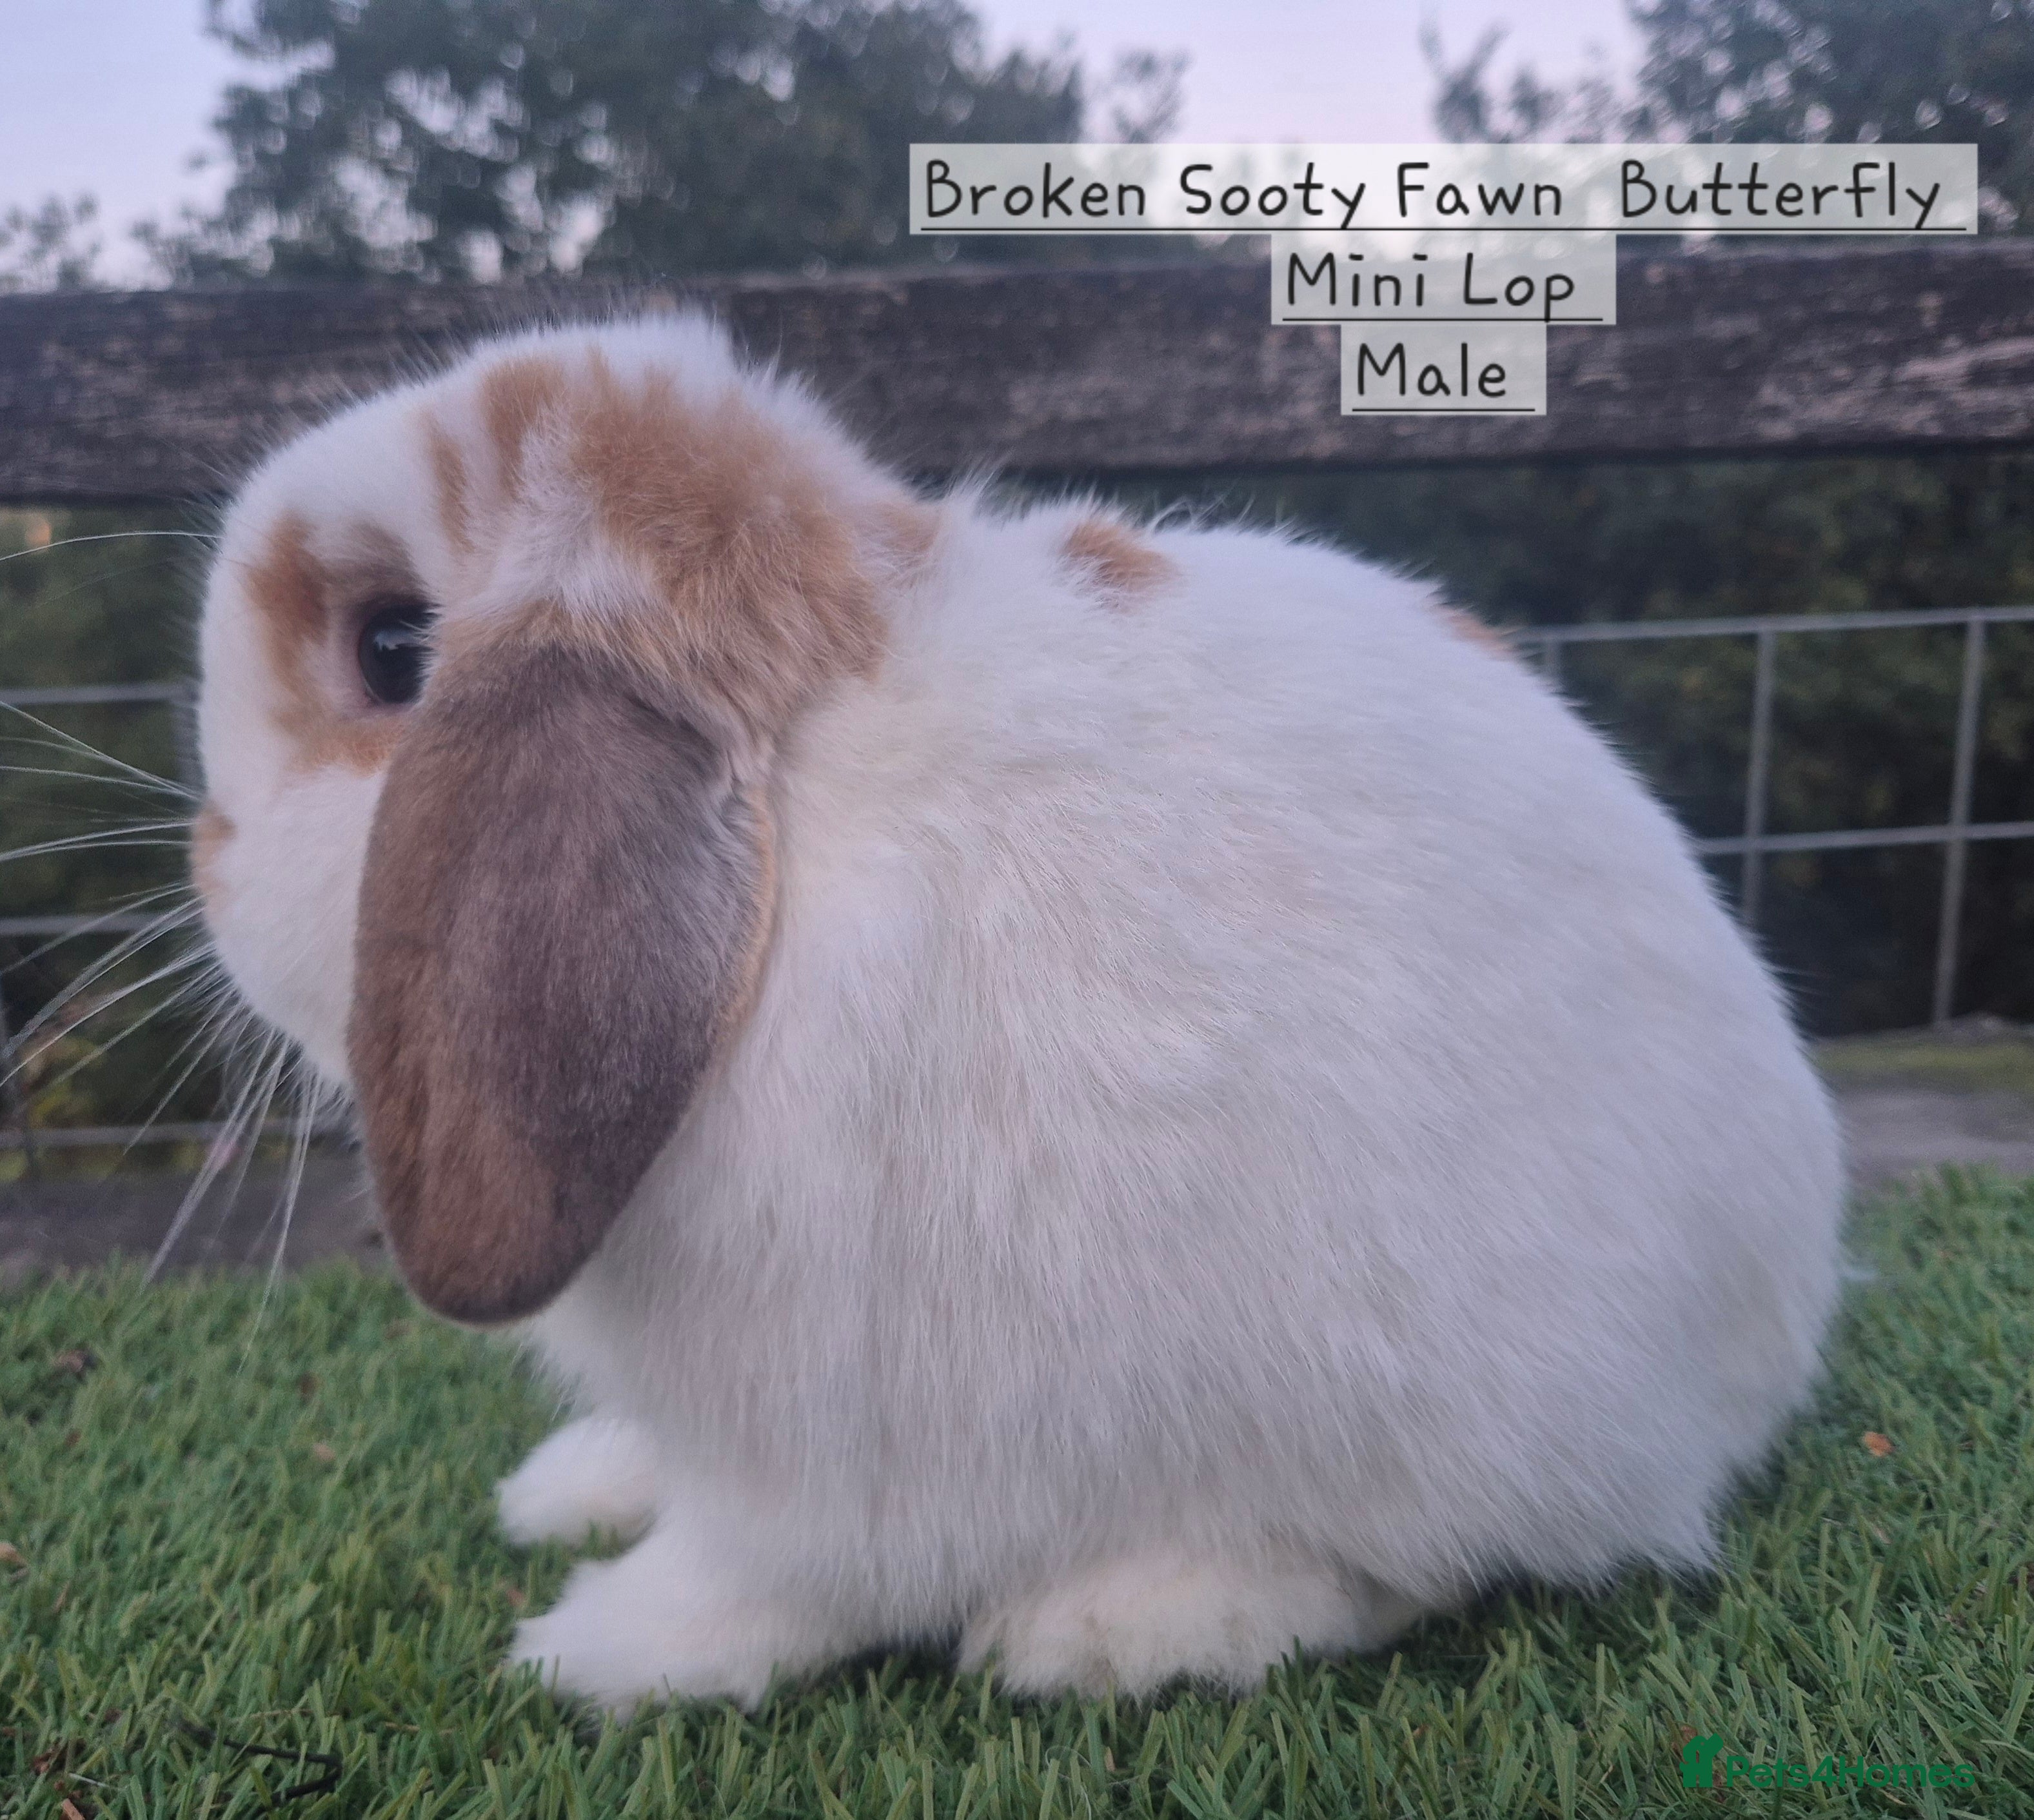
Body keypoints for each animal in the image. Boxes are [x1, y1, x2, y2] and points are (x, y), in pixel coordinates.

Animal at [190, 312, 1845, 1714]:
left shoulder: (818, 1454)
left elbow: (756, 1582)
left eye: (390, 649)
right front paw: (570, 1501)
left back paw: (1114, 1628)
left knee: (1397, 1573)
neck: (788, 836)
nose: (205, 851)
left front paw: (593, 1652)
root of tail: (1771, 1329)